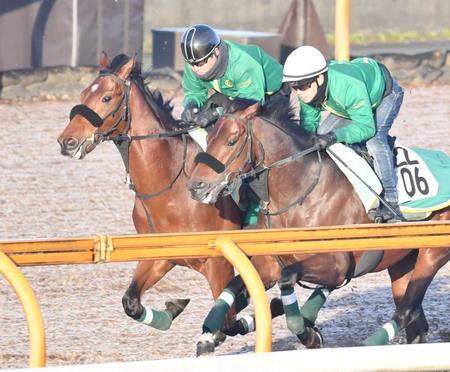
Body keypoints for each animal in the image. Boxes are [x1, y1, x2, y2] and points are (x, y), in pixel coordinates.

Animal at [58, 53, 246, 350]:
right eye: (84, 93)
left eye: (107, 97)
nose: (67, 141)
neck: (170, 187)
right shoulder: (160, 256)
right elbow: (131, 302)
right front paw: (173, 308)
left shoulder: (219, 264)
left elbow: (229, 317)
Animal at [187, 97, 450, 354]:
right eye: (208, 138)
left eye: (231, 141)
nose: (196, 186)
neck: (301, 190)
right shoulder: (270, 263)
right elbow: (234, 287)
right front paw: (212, 334)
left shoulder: (337, 265)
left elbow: (288, 279)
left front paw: (308, 332)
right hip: (402, 261)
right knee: (415, 320)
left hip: (431, 254)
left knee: (406, 310)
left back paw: (366, 344)